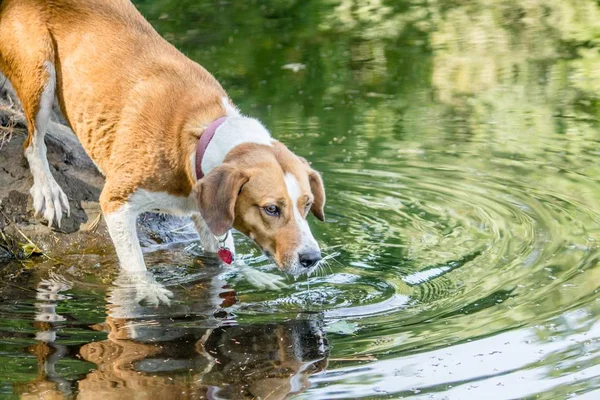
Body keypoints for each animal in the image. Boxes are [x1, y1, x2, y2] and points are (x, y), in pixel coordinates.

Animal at [0, 0, 324, 280]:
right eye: (271, 209)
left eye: (307, 204)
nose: (312, 258)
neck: (196, 137)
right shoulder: (117, 204)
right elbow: (136, 270)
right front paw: (151, 293)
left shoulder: (205, 215)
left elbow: (223, 259)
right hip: (40, 74)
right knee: (33, 143)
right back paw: (48, 189)